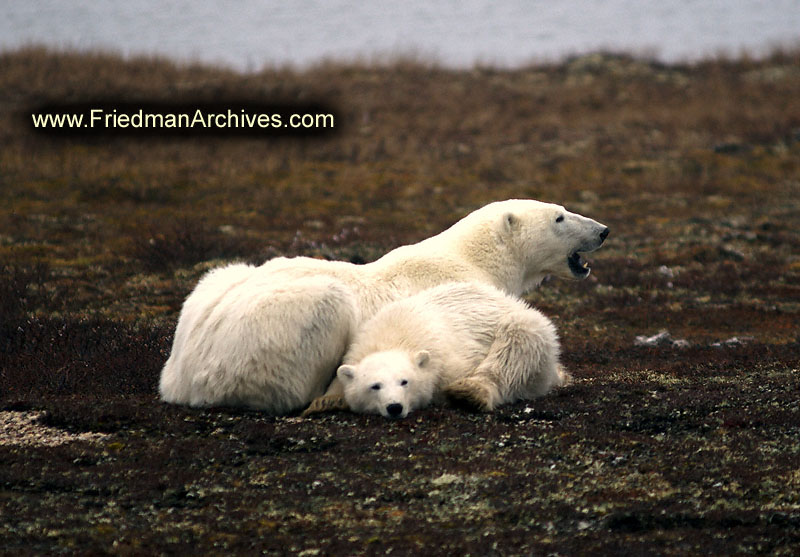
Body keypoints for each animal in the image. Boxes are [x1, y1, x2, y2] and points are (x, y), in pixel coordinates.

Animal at [158, 197, 608, 412]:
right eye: (560, 217)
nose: (603, 230)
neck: (474, 259)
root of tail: (183, 377)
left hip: (211, 290)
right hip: (270, 334)